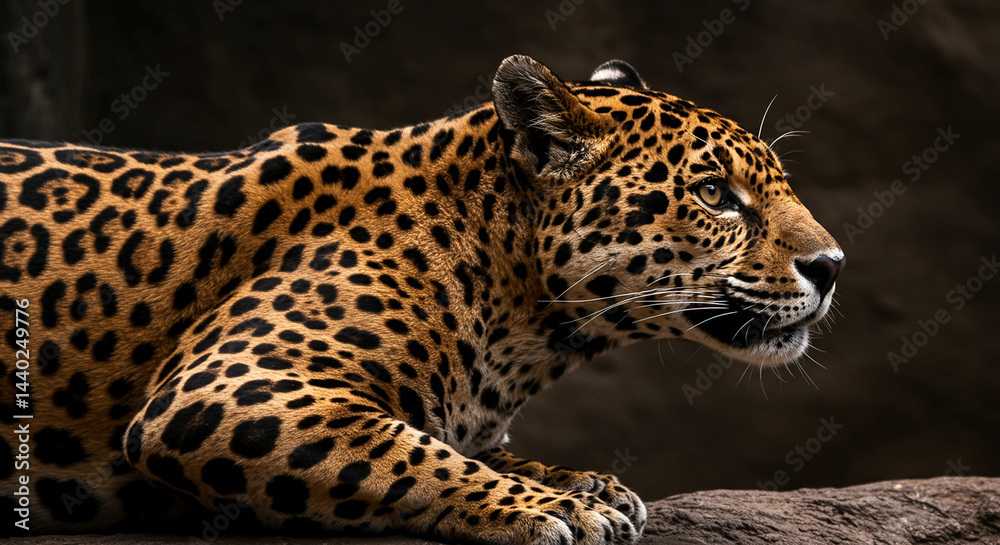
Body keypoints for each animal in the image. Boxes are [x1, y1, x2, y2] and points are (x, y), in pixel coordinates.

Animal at [0, 55, 843, 544]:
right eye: (715, 194)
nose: (832, 265)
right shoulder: (227, 386)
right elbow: (406, 449)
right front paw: (554, 506)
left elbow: (459, 440)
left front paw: (581, 481)